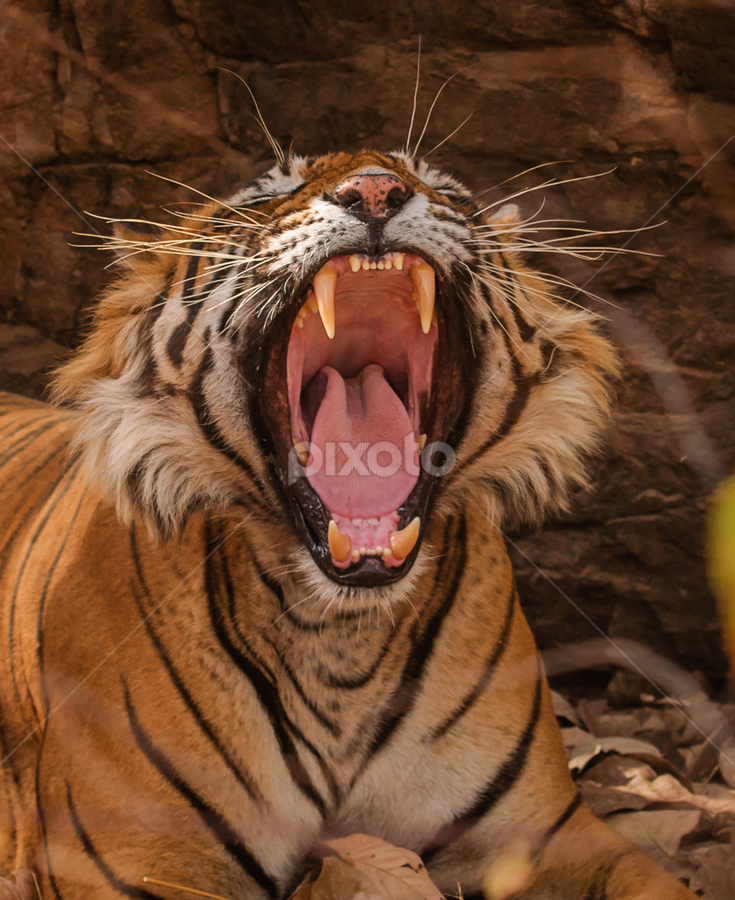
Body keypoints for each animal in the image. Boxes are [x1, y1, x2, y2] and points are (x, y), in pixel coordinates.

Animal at [0, 148, 695, 900]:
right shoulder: (136, 852)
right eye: (265, 194)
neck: (341, 637)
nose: (375, 191)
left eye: (444, 189)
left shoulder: (550, 833)